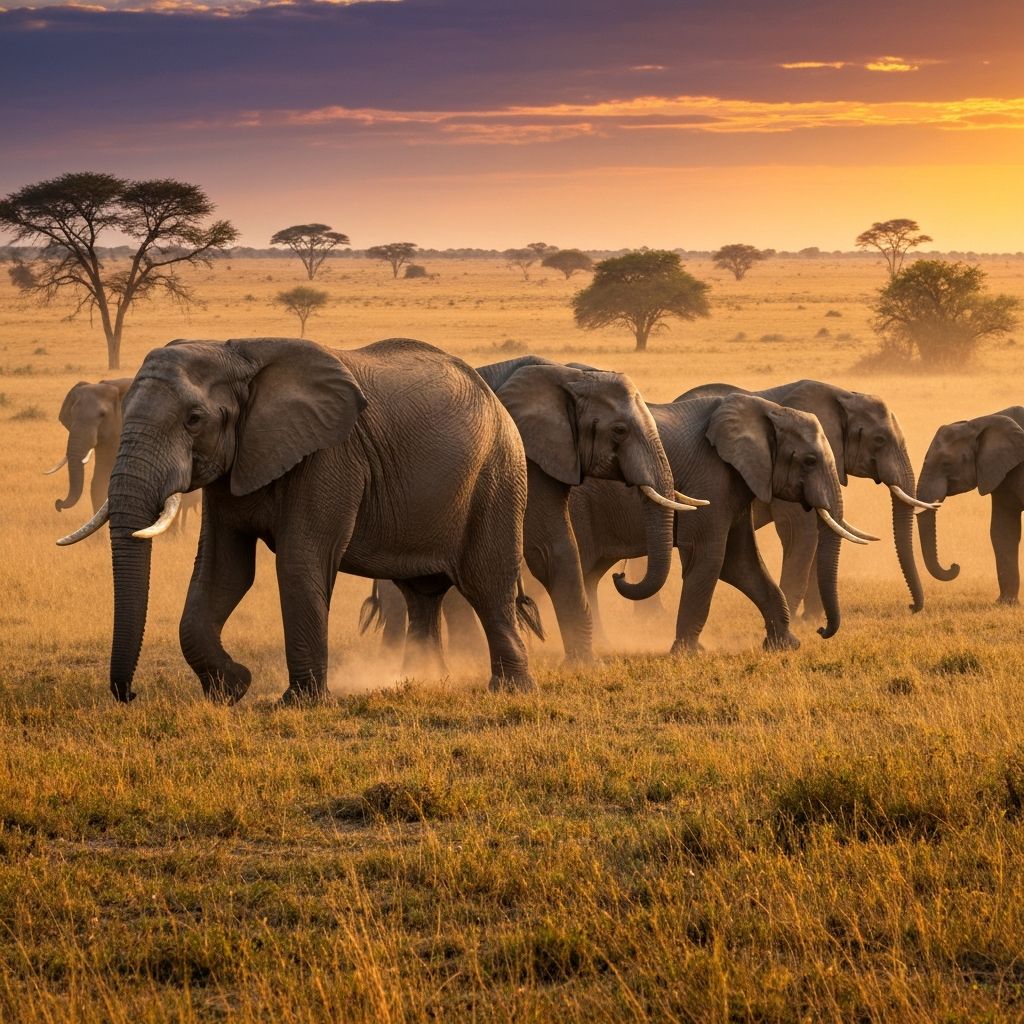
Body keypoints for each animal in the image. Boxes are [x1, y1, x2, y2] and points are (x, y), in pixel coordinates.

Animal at [362, 355, 694, 663]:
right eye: (620, 431)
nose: (620, 576)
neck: (568, 376)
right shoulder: (526, 451)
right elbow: (551, 546)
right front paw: (587, 665)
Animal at [570, 393, 875, 652]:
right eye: (810, 461)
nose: (822, 631)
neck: (767, 410)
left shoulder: (736, 484)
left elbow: (741, 563)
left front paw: (785, 646)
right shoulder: (710, 477)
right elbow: (710, 557)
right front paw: (688, 654)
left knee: (590, 576)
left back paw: (603, 646)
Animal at [675, 380, 930, 619]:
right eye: (879, 440)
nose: (911, 607)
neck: (844, 395)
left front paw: (810, 620)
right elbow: (801, 533)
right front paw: (797, 620)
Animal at [917, 407, 1024, 604]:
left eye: (946, 463)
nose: (954, 565)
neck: (979, 423)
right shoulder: (998, 472)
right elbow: (1003, 530)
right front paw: (1005, 603)